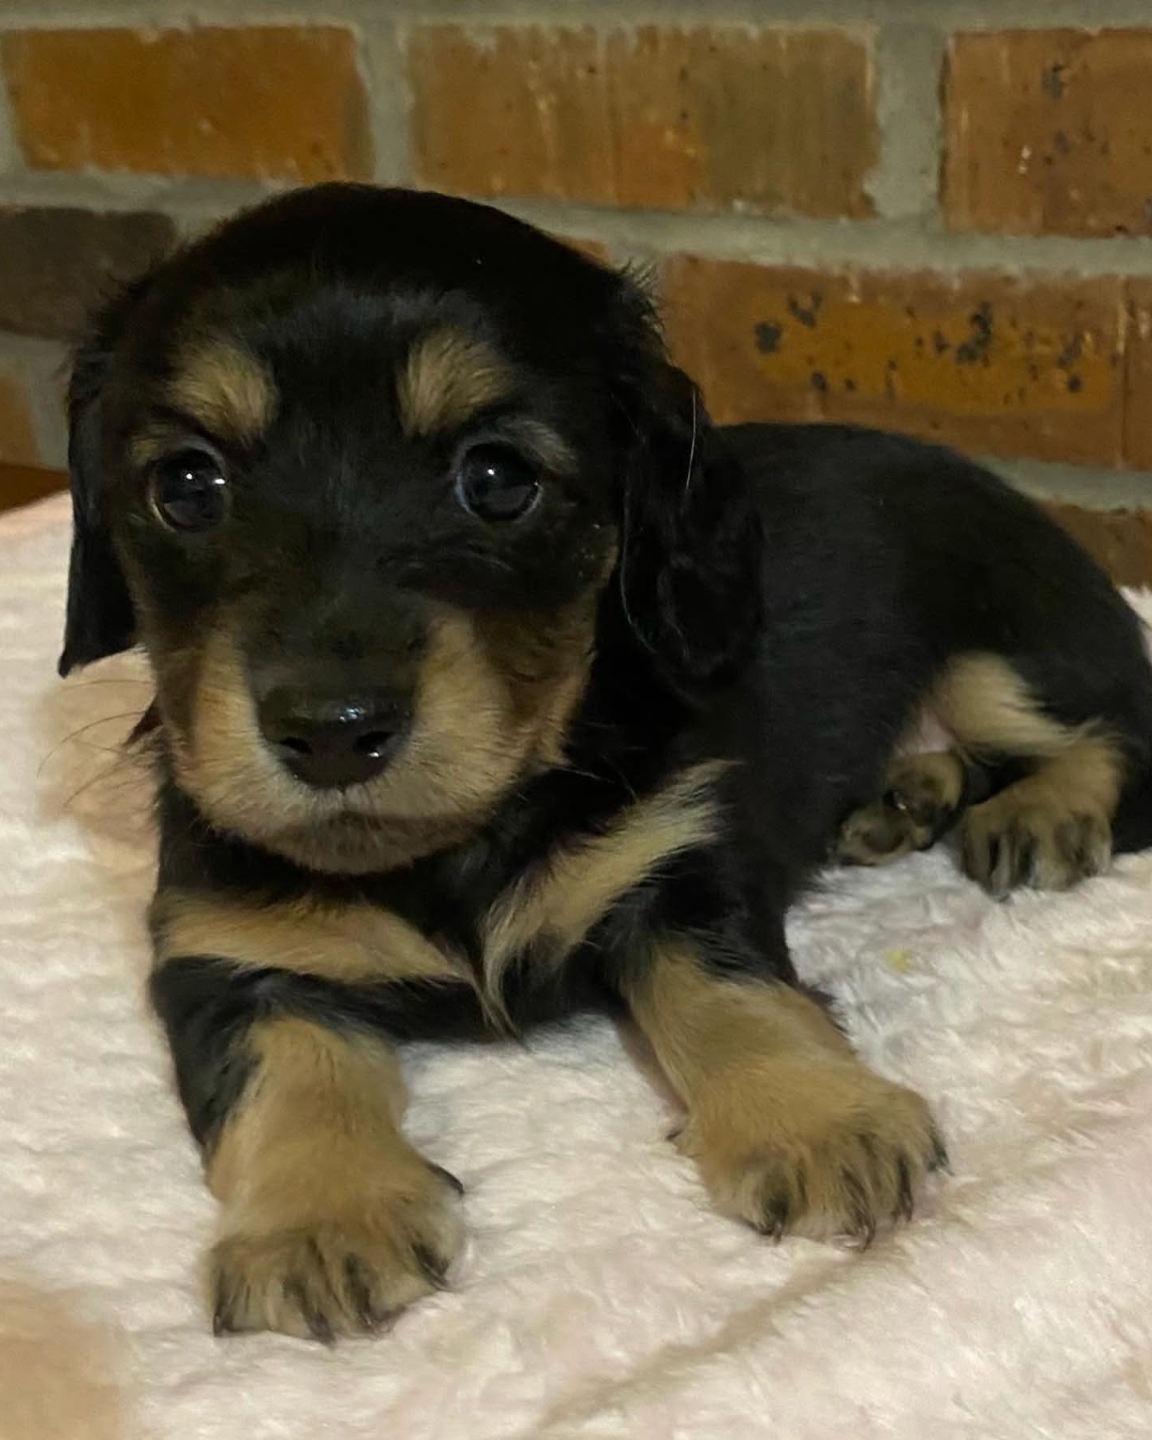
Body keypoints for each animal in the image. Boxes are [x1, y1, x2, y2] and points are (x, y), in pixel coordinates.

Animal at [58, 180, 1152, 1336]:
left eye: (497, 478)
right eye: (188, 485)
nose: (332, 731)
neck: (465, 836)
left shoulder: (677, 862)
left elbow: (734, 991)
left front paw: (816, 1121)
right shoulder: (222, 952)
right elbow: (285, 1063)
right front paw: (319, 1222)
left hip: (1000, 656)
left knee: (1115, 731)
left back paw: (1040, 817)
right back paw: (902, 797)